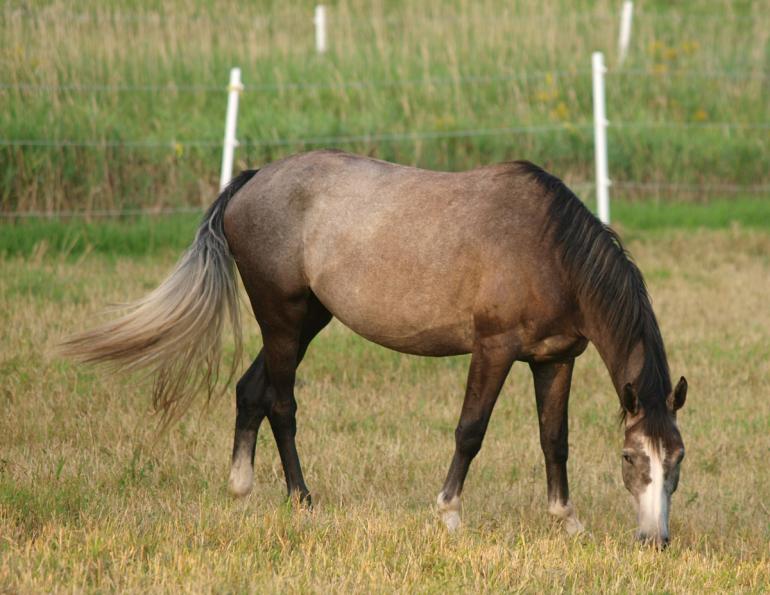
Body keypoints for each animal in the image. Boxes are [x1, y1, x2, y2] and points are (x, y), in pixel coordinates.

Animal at [61, 149, 687, 547]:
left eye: (677, 459)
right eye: (631, 459)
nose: (654, 540)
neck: (548, 248)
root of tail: (254, 179)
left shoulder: (554, 359)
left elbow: (554, 440)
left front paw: (566, 522)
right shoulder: (493, 350)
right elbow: (471, 431)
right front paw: (449, 515)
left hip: (305, 322)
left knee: (251, 390)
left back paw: (241, 488)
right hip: (283, 321)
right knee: (281, 403)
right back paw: (302, 501)